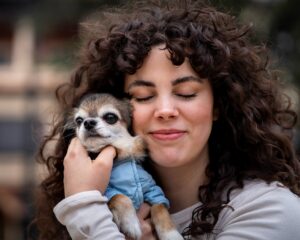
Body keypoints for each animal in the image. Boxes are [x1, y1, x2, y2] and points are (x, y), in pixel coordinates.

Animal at [64, 93, 183, 240]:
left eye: (110, 117)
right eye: (79, 121)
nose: (88, 122)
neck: (121, 155)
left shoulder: (152, 189)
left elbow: (159, 207)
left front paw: (172, 235)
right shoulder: (107, 190)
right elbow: (120, 196)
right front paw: (130, 224)